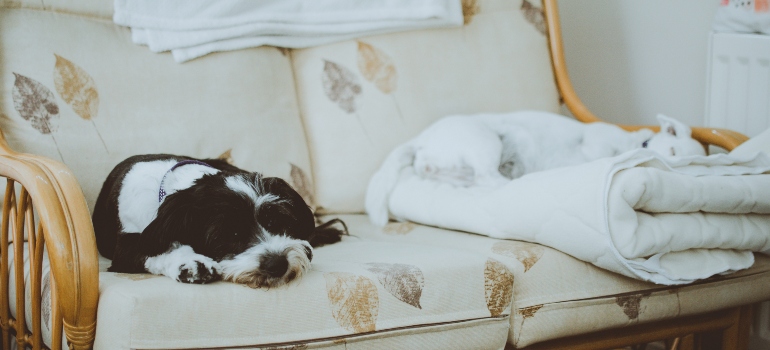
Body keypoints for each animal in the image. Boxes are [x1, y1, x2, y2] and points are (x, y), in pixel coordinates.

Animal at [91, 153, 344, 288]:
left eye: (277, 223)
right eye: (230, 234)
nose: (277, 264)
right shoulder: (126, 247)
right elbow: (157, 249)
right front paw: (191, 262)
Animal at [364, 110, 704, 227]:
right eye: (673, 152)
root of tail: (421, 139)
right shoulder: (595, 142)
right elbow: (596, 151)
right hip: (486, 139)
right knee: (489, 179)